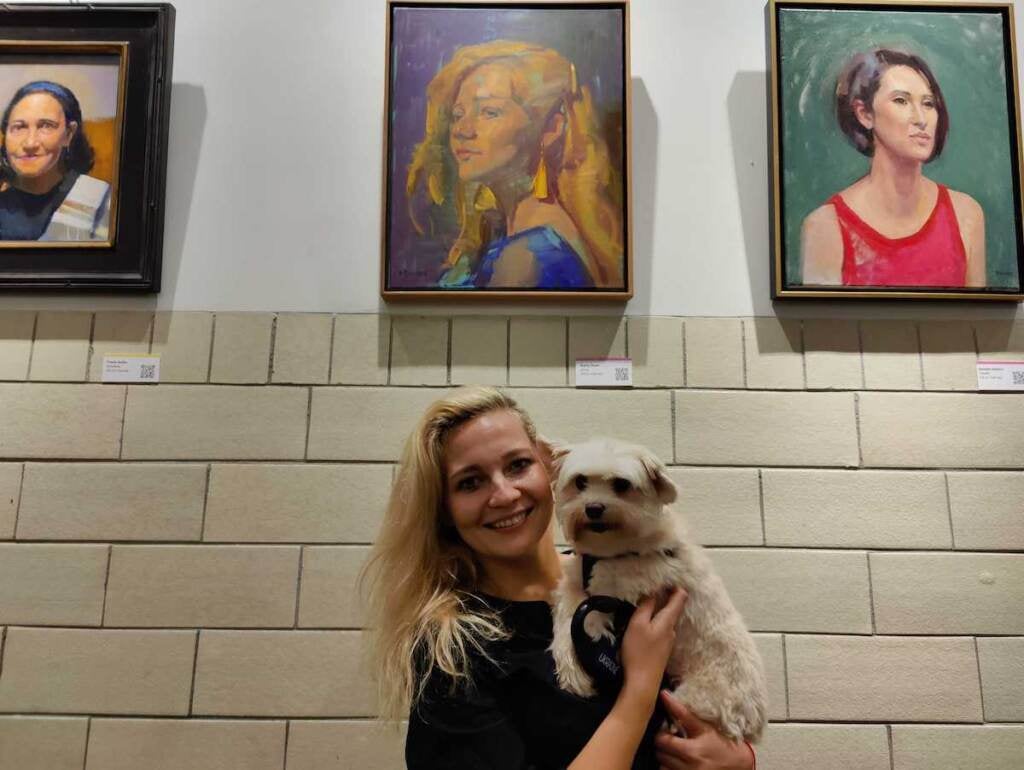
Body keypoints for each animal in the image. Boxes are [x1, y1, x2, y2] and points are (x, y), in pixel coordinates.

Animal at [548, 436, 765, 741]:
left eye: (622, 484)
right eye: (580, 481)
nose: (593, 508)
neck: (613, 550)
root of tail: (754, 721)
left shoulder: (636, 579)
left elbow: (593, 605)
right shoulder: (574, 576)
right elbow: (567, 609)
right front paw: (572, 671)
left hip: (697, 698)